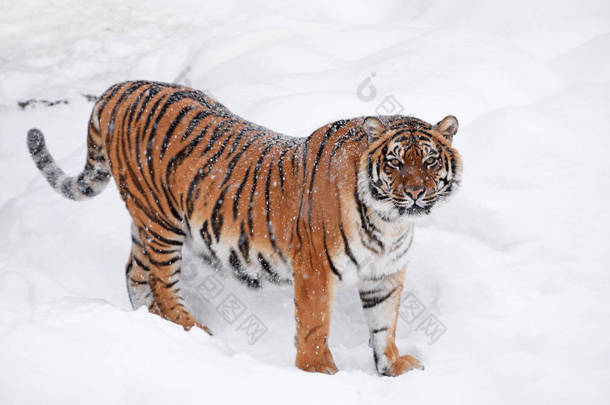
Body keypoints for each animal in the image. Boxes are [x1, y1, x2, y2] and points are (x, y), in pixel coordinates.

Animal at [26, 79, 458, 376]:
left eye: (430, 161)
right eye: (395, 162)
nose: (415, 192)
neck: (391, 222)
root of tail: (121, 88)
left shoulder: (385, 274)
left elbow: (384, 325)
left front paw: (392, 367)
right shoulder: (314, 270)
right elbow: (315, 324)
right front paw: (319, 371)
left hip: (145, 221)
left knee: (135, 271)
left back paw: (148, 323)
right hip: (162, 223)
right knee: (163, 283)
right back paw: (192, 330)